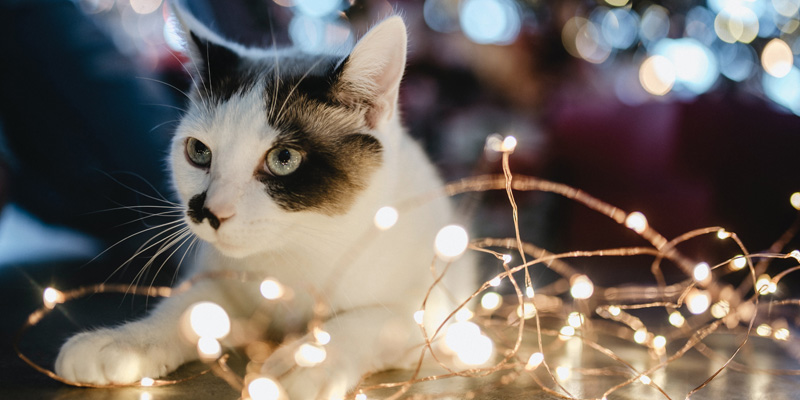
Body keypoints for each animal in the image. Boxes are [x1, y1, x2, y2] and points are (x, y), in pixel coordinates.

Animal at [56, 4, 478, 398]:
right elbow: (188, 308)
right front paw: (124, 342)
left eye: (284, 159)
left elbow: (375, 320)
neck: (298, 254)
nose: (208, 212)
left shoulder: (434, 308)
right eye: (198, 152)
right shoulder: (221, 279)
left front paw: (308, 360)